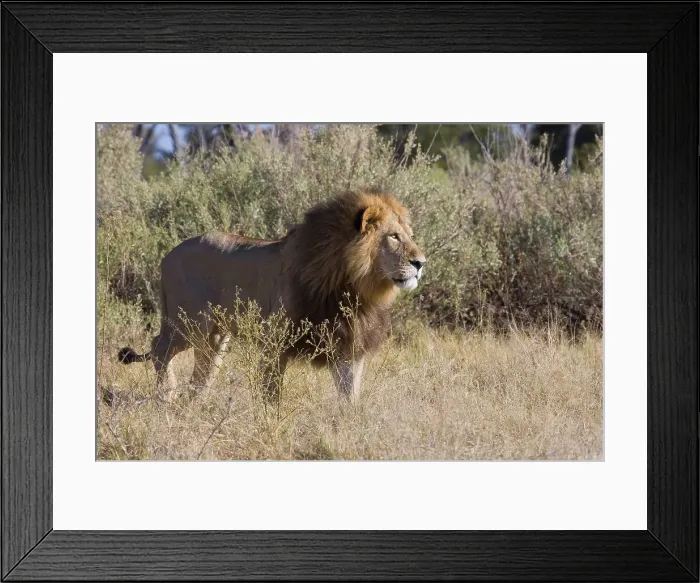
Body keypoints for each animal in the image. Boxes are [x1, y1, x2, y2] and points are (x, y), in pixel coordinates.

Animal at [117, 188, 426, 402]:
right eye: (394, 236)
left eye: (409, 234)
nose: (421, 263)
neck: (352, 285)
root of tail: (167, 256)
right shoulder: (275, 341)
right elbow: (271, 391)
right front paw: (270, 419)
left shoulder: (348, 344)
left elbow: (350, 394)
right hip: (189, 323)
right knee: (159, 348)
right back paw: (167, 395)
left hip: (216, 336)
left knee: (201, 367)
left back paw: (197, 401)